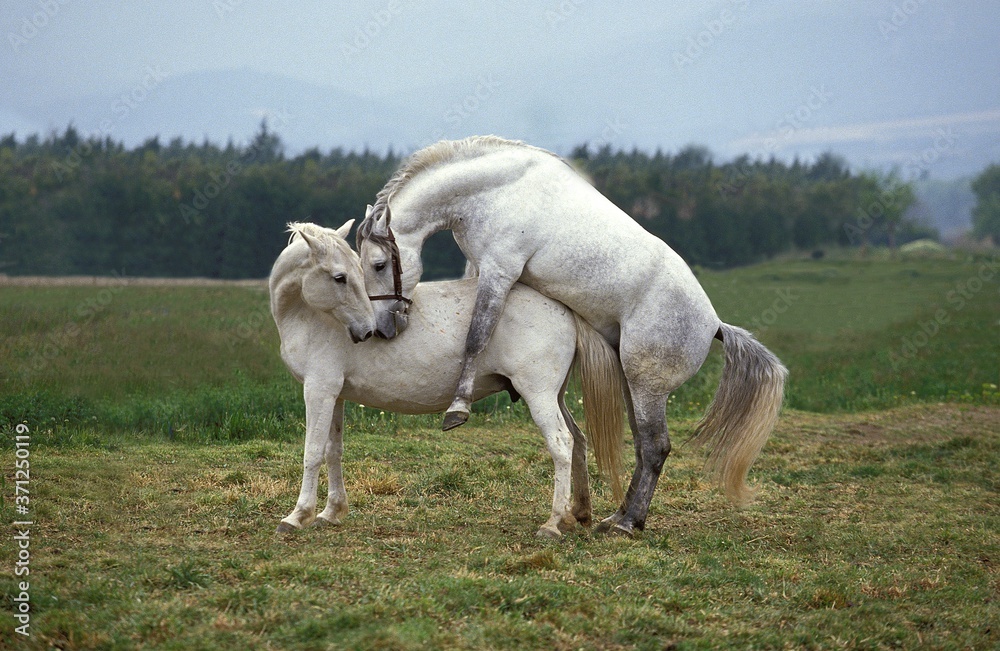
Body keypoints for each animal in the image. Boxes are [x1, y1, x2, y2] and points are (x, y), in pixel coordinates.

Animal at [270, 221, 625, 538]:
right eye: (341, 277)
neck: (309, 315)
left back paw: (552, 523)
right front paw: (331, 512)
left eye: (352, 274)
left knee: (561, 444)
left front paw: (297, 515)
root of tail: (565, 309)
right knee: (578, 440)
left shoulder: (319, 390)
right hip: (555, 396)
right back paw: (577, 513)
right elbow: (333, 450)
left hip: (538, 395)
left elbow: (312, 452)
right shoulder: (335, 395)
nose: (367, 330)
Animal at [356, 136, 787, 536]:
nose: (380, 328)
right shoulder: (479, 268)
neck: (496, 188)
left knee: (655, 447)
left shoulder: (499, 269)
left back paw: (628, 522)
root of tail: (713, 325)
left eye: (378, 265)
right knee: (642, 445)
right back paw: (615, 516)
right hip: (634, 386)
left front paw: (457, 408)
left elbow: (477, 336)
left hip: (647, 385)